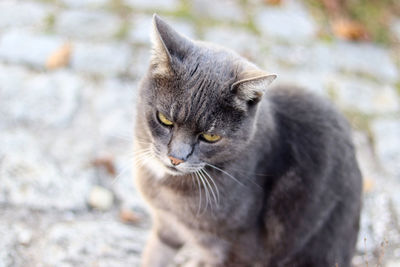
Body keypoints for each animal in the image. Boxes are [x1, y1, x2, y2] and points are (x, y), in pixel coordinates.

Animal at [134, 14, 362, 267]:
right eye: (164, 119)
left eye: (210, 136)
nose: (176, 158)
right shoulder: (168, 226)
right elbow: (155, 254)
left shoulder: (239, 251)